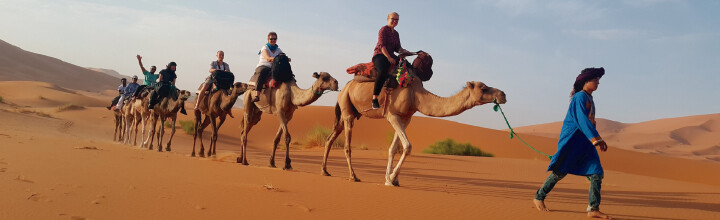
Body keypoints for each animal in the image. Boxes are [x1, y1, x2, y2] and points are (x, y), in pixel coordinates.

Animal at [320, 76, 506, 185]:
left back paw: (325, 171)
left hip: (348, 111)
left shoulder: (406, 118)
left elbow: (393, 148)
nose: (503, 94)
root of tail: (344, 88)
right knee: (346, 145)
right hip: (347, 110)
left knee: (330, 138)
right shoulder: (392, 115)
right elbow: (407, 146)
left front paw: (390, 178)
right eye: (483, 88)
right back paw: (353, 176)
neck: (416, 96)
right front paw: (392, 178)